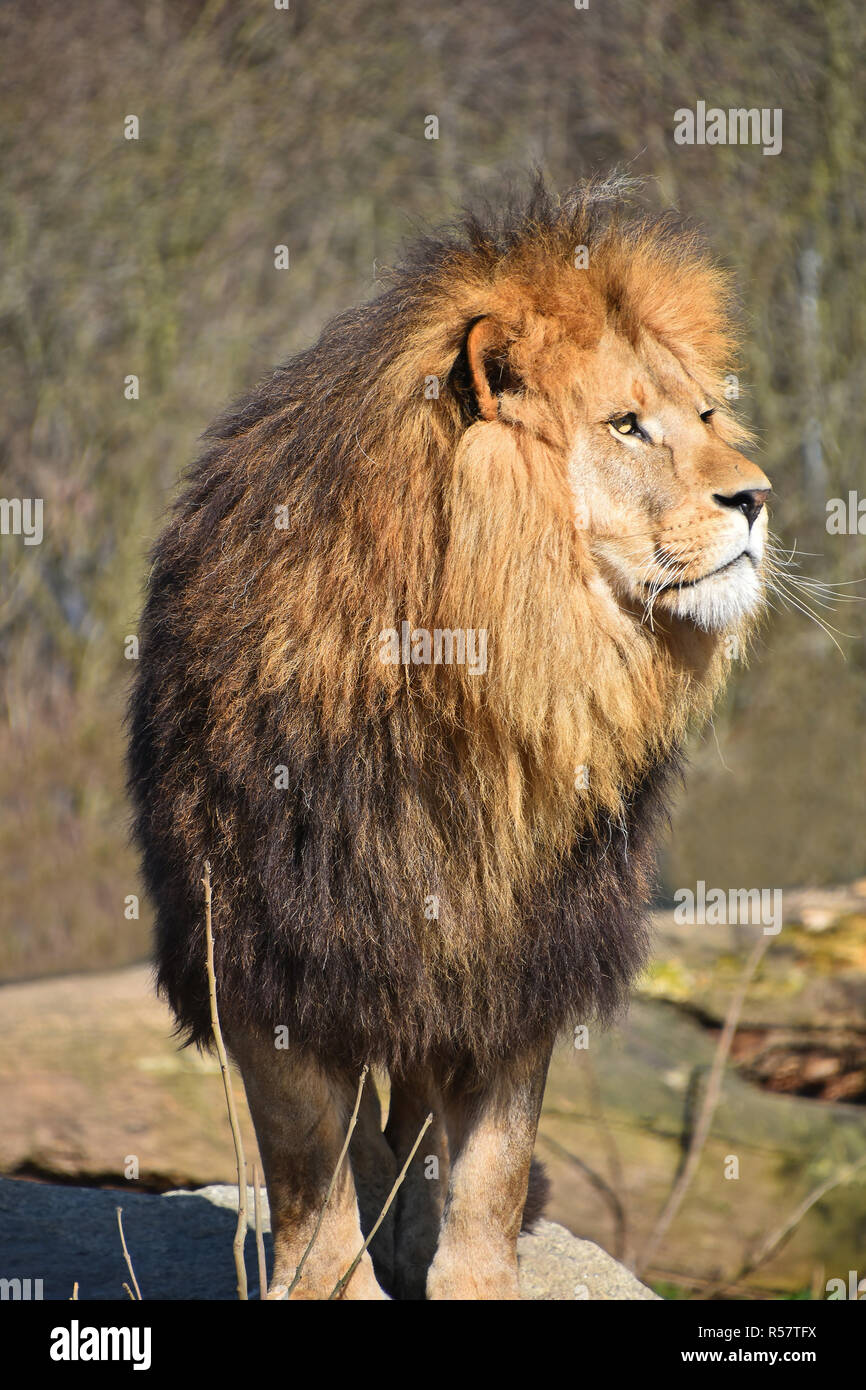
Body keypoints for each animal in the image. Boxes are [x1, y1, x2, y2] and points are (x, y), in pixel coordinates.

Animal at [127, 179, 772, 1295]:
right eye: (625, 425)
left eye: (702, 415)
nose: (757, 497)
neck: (488, 690)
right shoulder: (268, 948)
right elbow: (311, 1162)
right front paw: (326, 1277)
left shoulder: (519, 949)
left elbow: (493, 1165)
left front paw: (462, 1269)